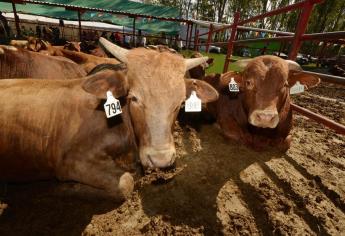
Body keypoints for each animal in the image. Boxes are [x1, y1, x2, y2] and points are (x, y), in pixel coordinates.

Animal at [0, 39, 218, 198]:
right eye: (134, 98)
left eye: (180, 102)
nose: (160, 159)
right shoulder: (71, 162)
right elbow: (126, 183)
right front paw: (67, 189)